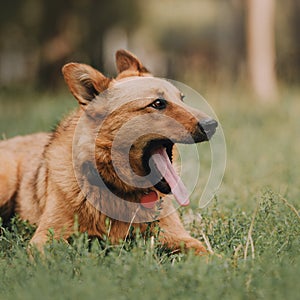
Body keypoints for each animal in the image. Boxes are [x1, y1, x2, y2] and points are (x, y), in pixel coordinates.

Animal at [0, 50, 216, 254]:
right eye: (158, 104)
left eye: (182, 98)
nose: (212, 125)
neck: (121, 188)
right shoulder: (45, 238)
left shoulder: (176, 235)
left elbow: (206, 254)